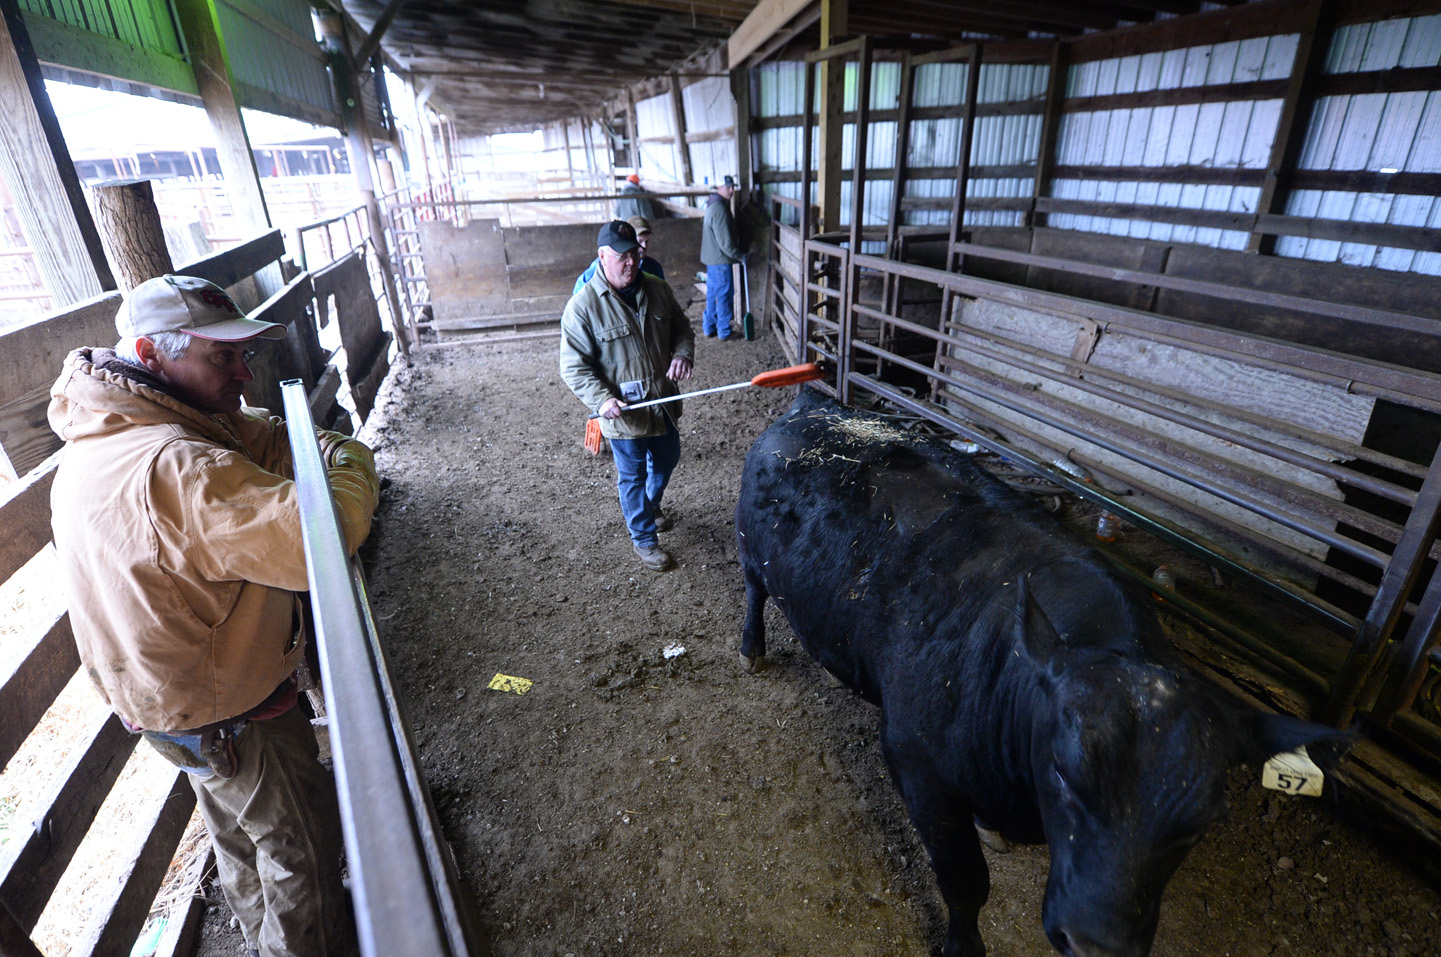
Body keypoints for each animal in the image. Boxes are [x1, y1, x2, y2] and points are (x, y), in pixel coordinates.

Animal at [737, 392, 1354, 957]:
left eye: (1200, 824)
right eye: (1062, 772)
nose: (1095, 944)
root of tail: (818, 401)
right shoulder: (917, 764)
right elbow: (965, 883)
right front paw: (963, 946)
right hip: (750, 554)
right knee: (754, 593)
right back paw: (751, 647)